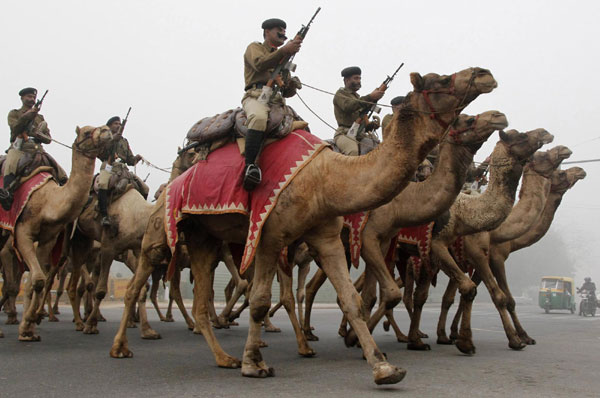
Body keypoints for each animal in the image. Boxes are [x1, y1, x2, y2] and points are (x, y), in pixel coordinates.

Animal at [5, 126, 112, 340]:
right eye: (86, 132)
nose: (106, 130)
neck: (48, 203)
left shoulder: (48, 239)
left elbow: (36, 282)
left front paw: (28, 327)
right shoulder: (23, 233)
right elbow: (39, 280)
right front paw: (29, 323)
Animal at [302, 110, 508, 340]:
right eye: (469, 119)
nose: (499, 116)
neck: (403, 200)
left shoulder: (385, 243)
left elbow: (375, 296)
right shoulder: (372, 238)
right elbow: (394, 294)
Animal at [432, 144, 572, 346]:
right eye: (561, 174)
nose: (580, 170)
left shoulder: (476, 260)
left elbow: (458, 295)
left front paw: (452, 334)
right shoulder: (490, 257)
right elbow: (503, 297)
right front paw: (516, 338)